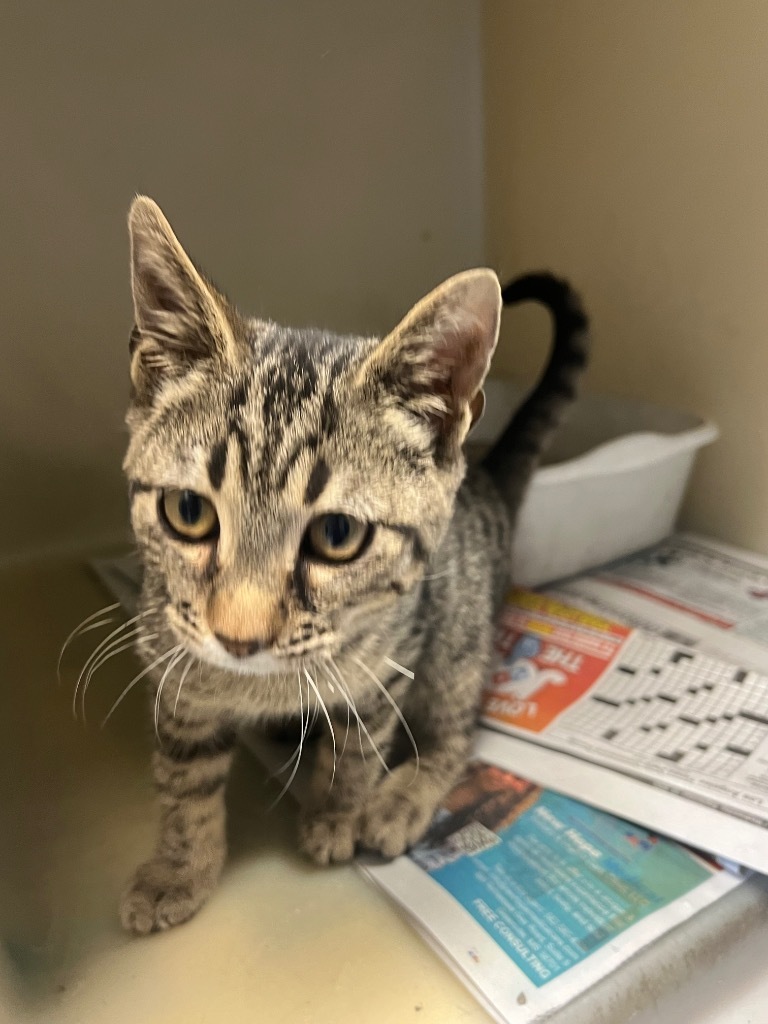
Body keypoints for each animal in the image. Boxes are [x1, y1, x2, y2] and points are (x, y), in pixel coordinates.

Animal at [118, 195, 589, 933]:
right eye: (187, 512)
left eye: (337, 535)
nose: (238, 638)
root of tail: (484, 480)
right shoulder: (175, 672)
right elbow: (184, 782)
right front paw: (178, 868)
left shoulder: (390, 663)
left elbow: (357, 749)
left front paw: (337, 815)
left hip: (457, 647)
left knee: (458, 727)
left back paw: (402, 797)